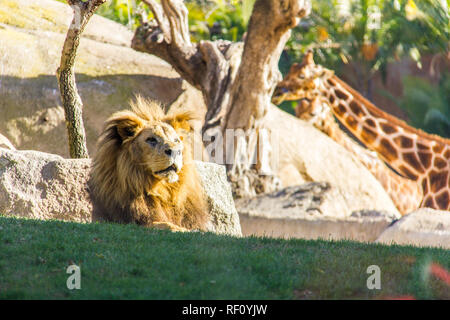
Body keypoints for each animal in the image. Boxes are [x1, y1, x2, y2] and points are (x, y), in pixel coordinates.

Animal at [89, 96, 210, 231]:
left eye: (176, 140)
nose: (175, 151)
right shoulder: (133, 221)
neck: (163, 193)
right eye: (151, 140)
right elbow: (166, 224)